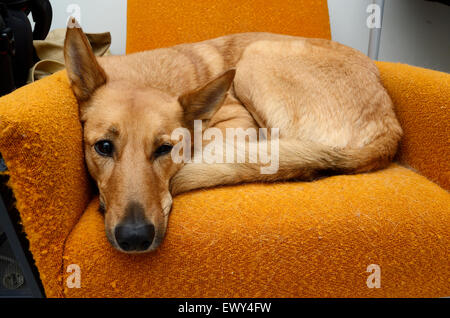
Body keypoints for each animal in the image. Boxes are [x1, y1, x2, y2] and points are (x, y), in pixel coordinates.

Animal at [62, 19, 400, 253]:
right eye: (104, 147)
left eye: (165, 149)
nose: (135, 238)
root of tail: (390, 124)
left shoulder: (238, 121)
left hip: (256, 56)